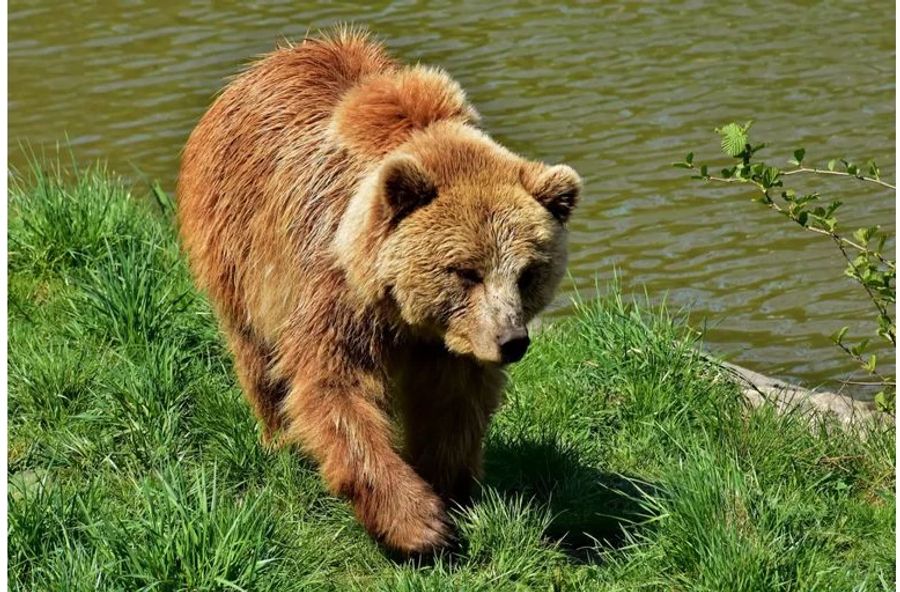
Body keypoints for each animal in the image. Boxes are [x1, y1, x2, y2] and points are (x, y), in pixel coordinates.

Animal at [178, 26, 584, 556]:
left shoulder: (452, 343)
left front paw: (450, 488)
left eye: (528, 272)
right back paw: (279, 440)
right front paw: (418, 526)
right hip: (237, 246)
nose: (511, 341)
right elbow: (334, 389)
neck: (400, 312)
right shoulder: (331, 292)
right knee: (258, 356)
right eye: (466, 271)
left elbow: (453, 404)